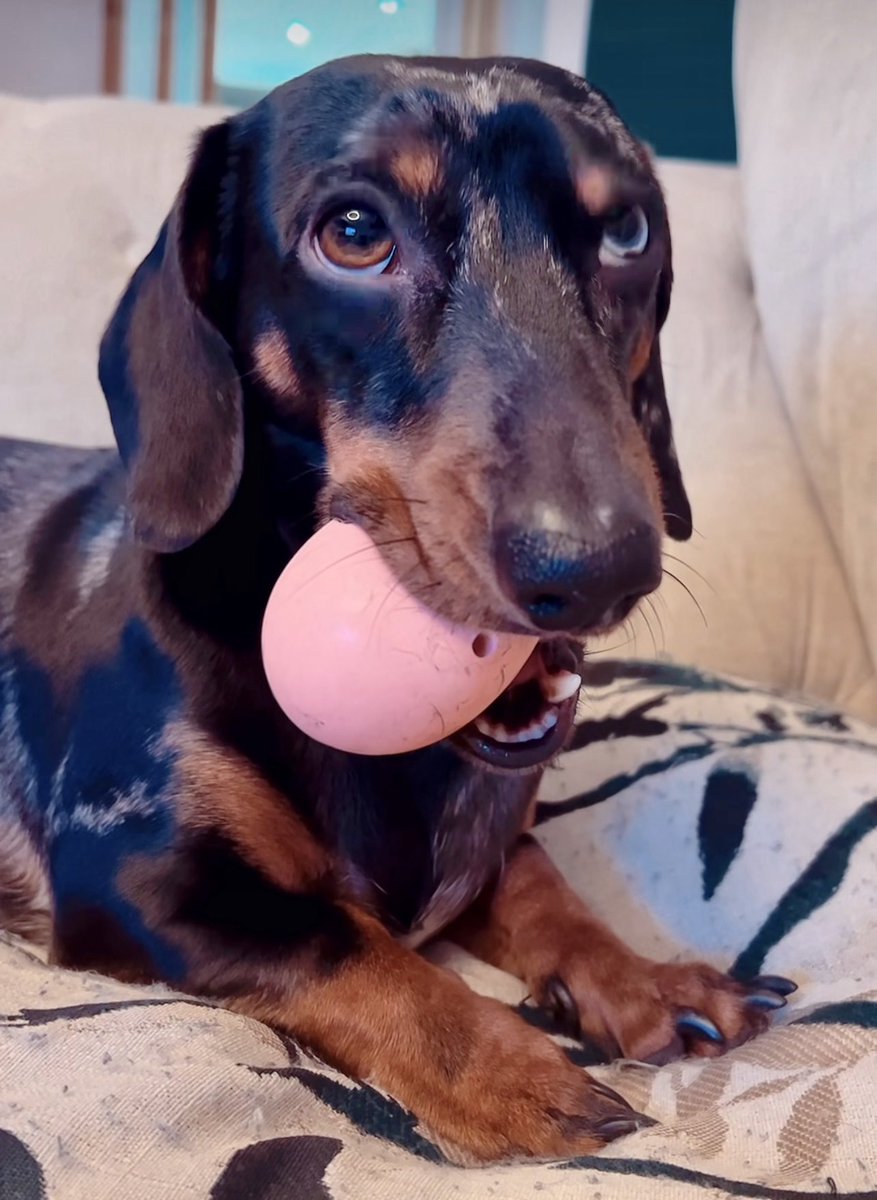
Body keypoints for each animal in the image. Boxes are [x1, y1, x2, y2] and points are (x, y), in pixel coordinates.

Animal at [0, 56, 791, 1161]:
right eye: (354, 233)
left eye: (628, 232)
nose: (600, 569)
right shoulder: (138, 875)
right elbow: (356, 943)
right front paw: (513, 1074)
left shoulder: (494, 842)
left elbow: (541, 885)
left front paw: (641, 978)